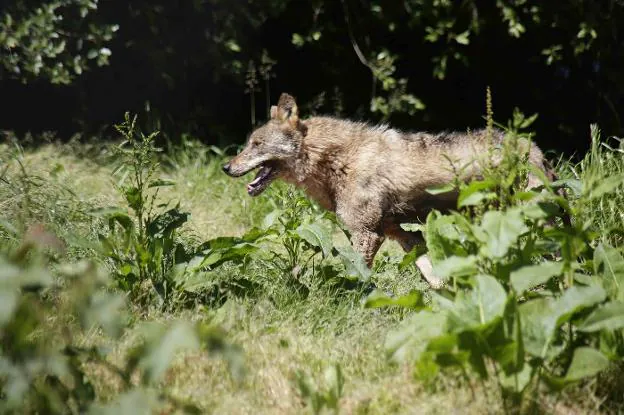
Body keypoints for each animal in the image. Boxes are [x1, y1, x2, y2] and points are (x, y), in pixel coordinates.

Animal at [222, 92, 560, 288]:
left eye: (256, 144)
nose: (226, 167)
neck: (338, 160)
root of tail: (535, 149)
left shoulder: (367, 234)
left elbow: (357, 276)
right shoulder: (399, 234)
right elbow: (431, 274)